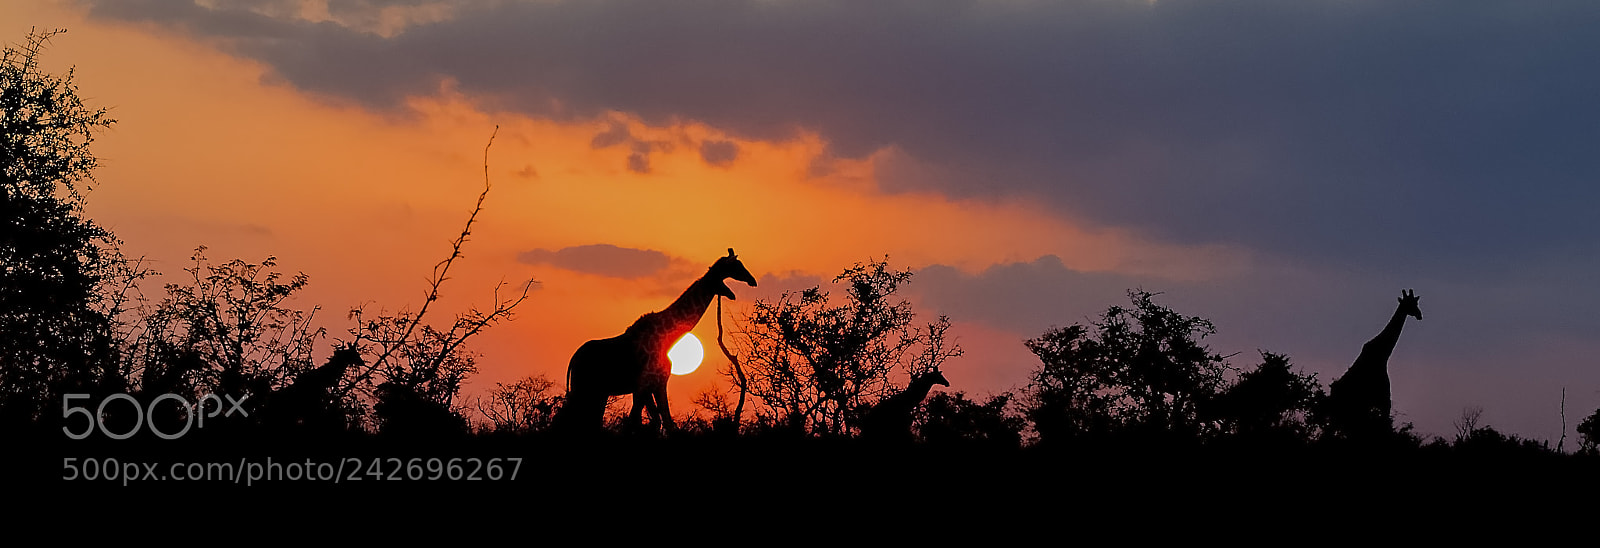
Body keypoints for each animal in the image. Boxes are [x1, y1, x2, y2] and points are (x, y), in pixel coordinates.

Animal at [556, 249, 757, 433]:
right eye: (736, 266)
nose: (752, 280)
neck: (668, 340)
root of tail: (573, 359)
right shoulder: (647, 385)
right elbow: (642, 422)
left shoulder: (653, 386)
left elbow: (660, 422)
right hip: (586, 388)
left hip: (597, 392)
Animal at [1324, 289, 1422, 440]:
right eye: (1409, 304)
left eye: (1416, 302)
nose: (1419, 315)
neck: (1382, 356)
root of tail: (1332, 391)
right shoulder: (1384, 401)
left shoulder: (1377, 403)